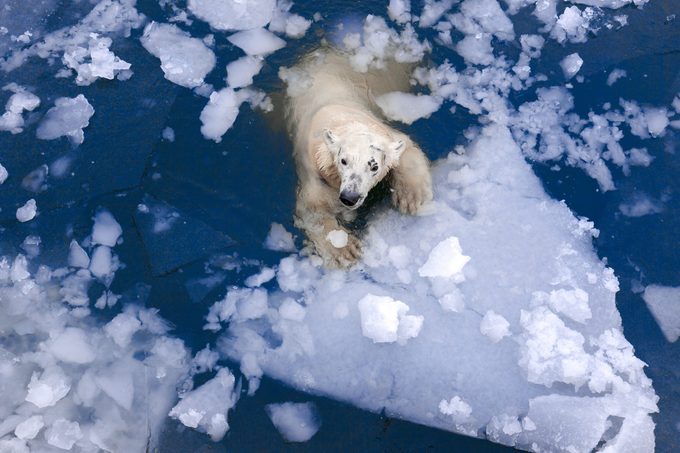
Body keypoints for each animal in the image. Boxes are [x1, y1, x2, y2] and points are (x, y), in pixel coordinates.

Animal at [284, 49, 432, 266]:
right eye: (343, 161)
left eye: (374, 166)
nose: (349, 197)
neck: (337, 117)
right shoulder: (313, 169)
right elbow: (312, 210)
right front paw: (345, 249)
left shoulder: (383, 130)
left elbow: (405, 149)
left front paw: (412, 197)